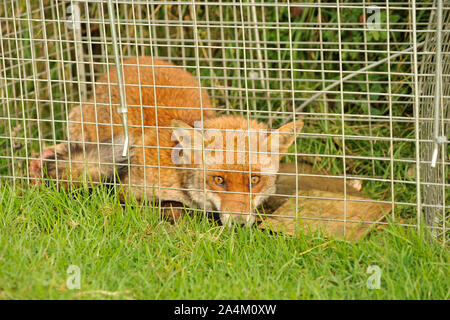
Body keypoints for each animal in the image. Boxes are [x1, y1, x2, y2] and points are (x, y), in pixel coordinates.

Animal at [29, 57, 304, 228]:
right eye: (218, 180)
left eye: (254, 180)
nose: (238, 223)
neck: (177, 174)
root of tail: (129, 60)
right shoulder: (127, 191)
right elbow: (170, 206)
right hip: (83, 129)